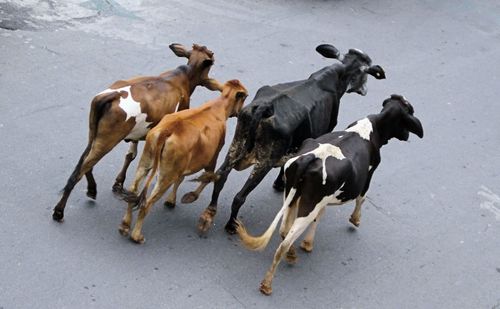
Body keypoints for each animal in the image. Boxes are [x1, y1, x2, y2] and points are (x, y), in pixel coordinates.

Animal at [51, 43, 218, 221]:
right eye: (211, 62)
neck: (184, 75)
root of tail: (113, 94)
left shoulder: (137, 133)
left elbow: (130, 155)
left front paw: (118, 183)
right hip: (108, 139)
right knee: (82, 169)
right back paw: (59, 211)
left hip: (94, 134)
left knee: (85, 160)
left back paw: (91, 189)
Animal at [117, 79, 250, 243]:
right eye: (244, 97)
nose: (241, 112)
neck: (217, 107)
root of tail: (167, 130)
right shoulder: (212, 157)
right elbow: (209, 177)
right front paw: (190, 197)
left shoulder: (184, 165)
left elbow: (181, 180)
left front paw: (171, 201)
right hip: (167, 175)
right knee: (146, 204)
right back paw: (136, 236)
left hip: (146, 162)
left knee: (133, 191)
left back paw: (124, 226)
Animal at [188, 43, 386, 233]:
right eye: (365, 73)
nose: (365, 90)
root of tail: (265, 107)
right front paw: (280, 183)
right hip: (265, 161)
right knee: (239, 196)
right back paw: (231, 225)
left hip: (236, 146)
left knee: (220, 178)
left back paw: (209, 212)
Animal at [236, 93, 424, 294]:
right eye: (410, 112)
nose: (408, 136)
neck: (371, 128)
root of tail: (310, 157)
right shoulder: (369, 174)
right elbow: (361, 198)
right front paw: (355, 219)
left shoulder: (323, 200)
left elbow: (320, 216)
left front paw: (308, 243)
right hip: (309, 202)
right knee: (284, 242)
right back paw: (267, 283)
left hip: (293, 194)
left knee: (285, 229)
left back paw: (292, 254)